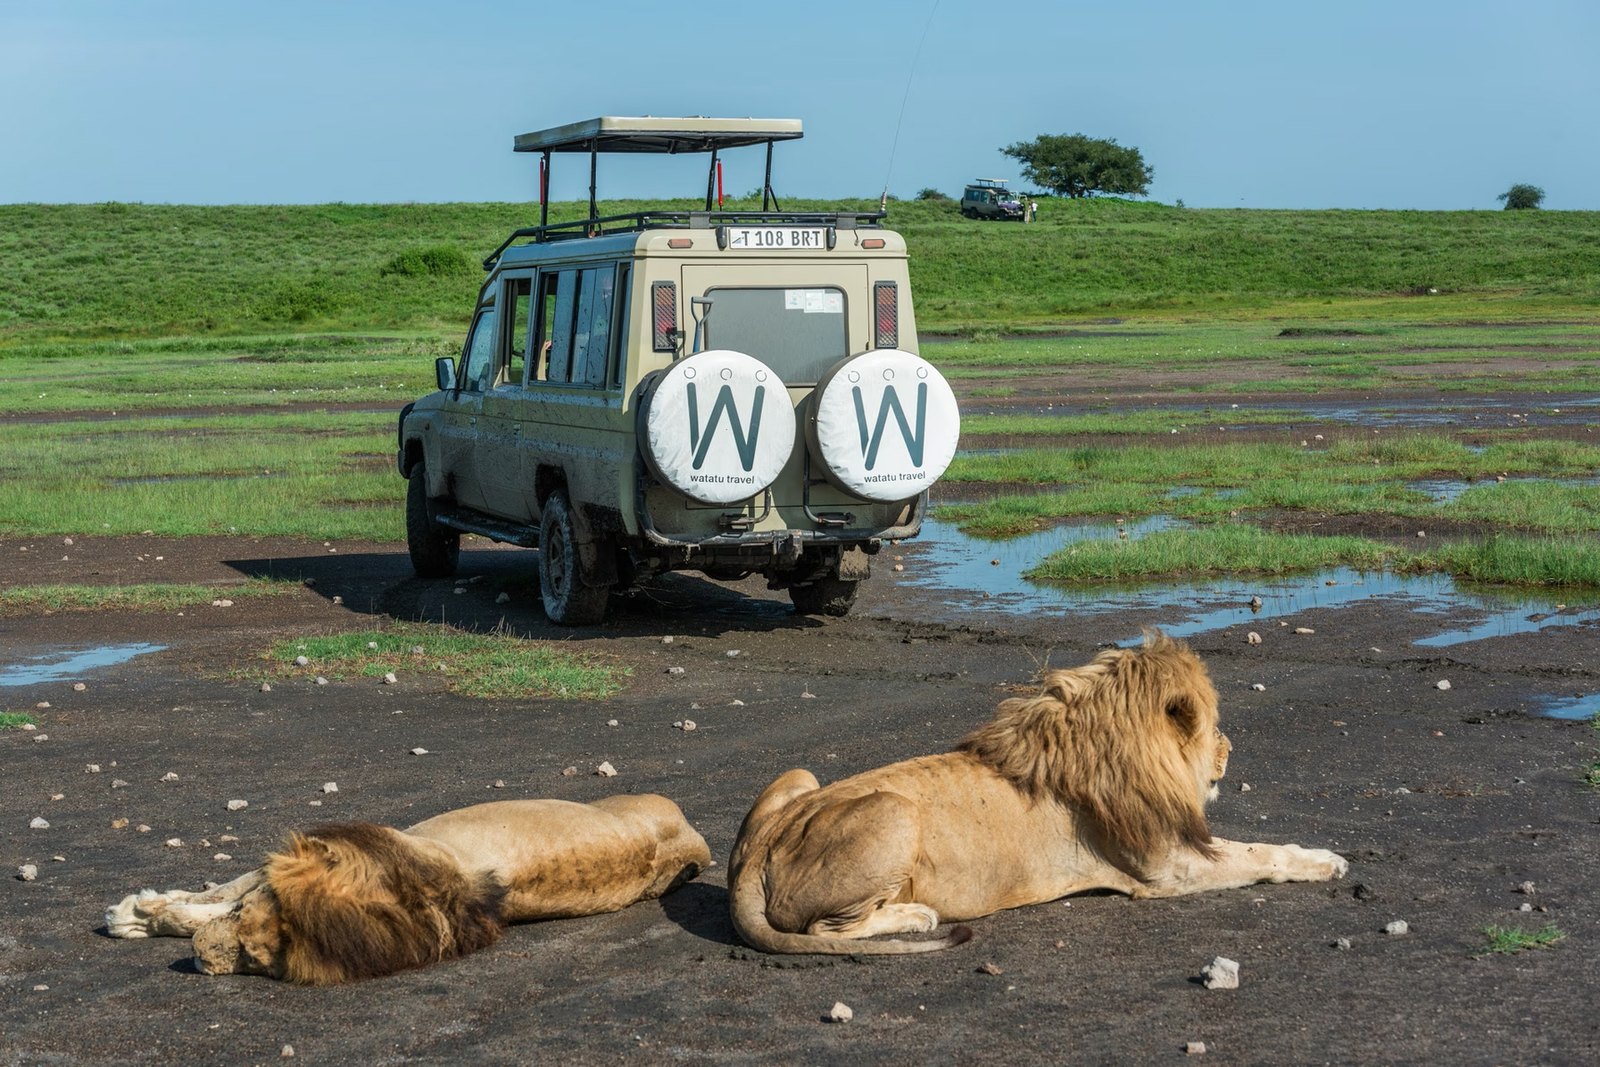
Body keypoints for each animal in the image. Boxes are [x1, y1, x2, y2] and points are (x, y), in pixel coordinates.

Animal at [728, 632, 1348, 954]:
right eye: (1216, 724)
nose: (1230, 748)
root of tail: (752, 862)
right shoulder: (1166, 869)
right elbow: (1259, 856)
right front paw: (1326, 861)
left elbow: (1258, 847)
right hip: (894, 810)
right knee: (824, 928)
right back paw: (916, 916)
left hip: (799, 776)